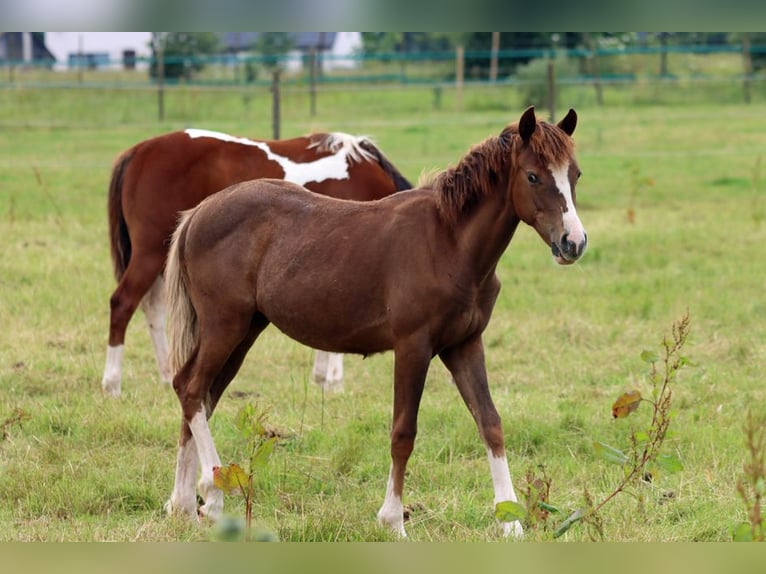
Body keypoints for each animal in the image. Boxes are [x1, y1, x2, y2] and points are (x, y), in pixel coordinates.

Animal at [105, 128, 414, 398]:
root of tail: (139, 151)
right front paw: (333, 380)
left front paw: (321, 377)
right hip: (150, 253)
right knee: (123, 303)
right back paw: (112, 384)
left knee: (153, 309)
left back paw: (166, 373)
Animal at [166, 107, 588, 540]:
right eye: (533, 176)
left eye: (575, 174)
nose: (573, 243)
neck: (449, 243)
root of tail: (199, 213)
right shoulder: (413, 347)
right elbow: (403, 432)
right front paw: (393, 521)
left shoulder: (464, 345)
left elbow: (490, 423)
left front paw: (511, 523)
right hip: (225, 326)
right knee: (192, 389)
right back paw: (211, 493)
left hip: (245, 330)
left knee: (198, 394)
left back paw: (184, 505)